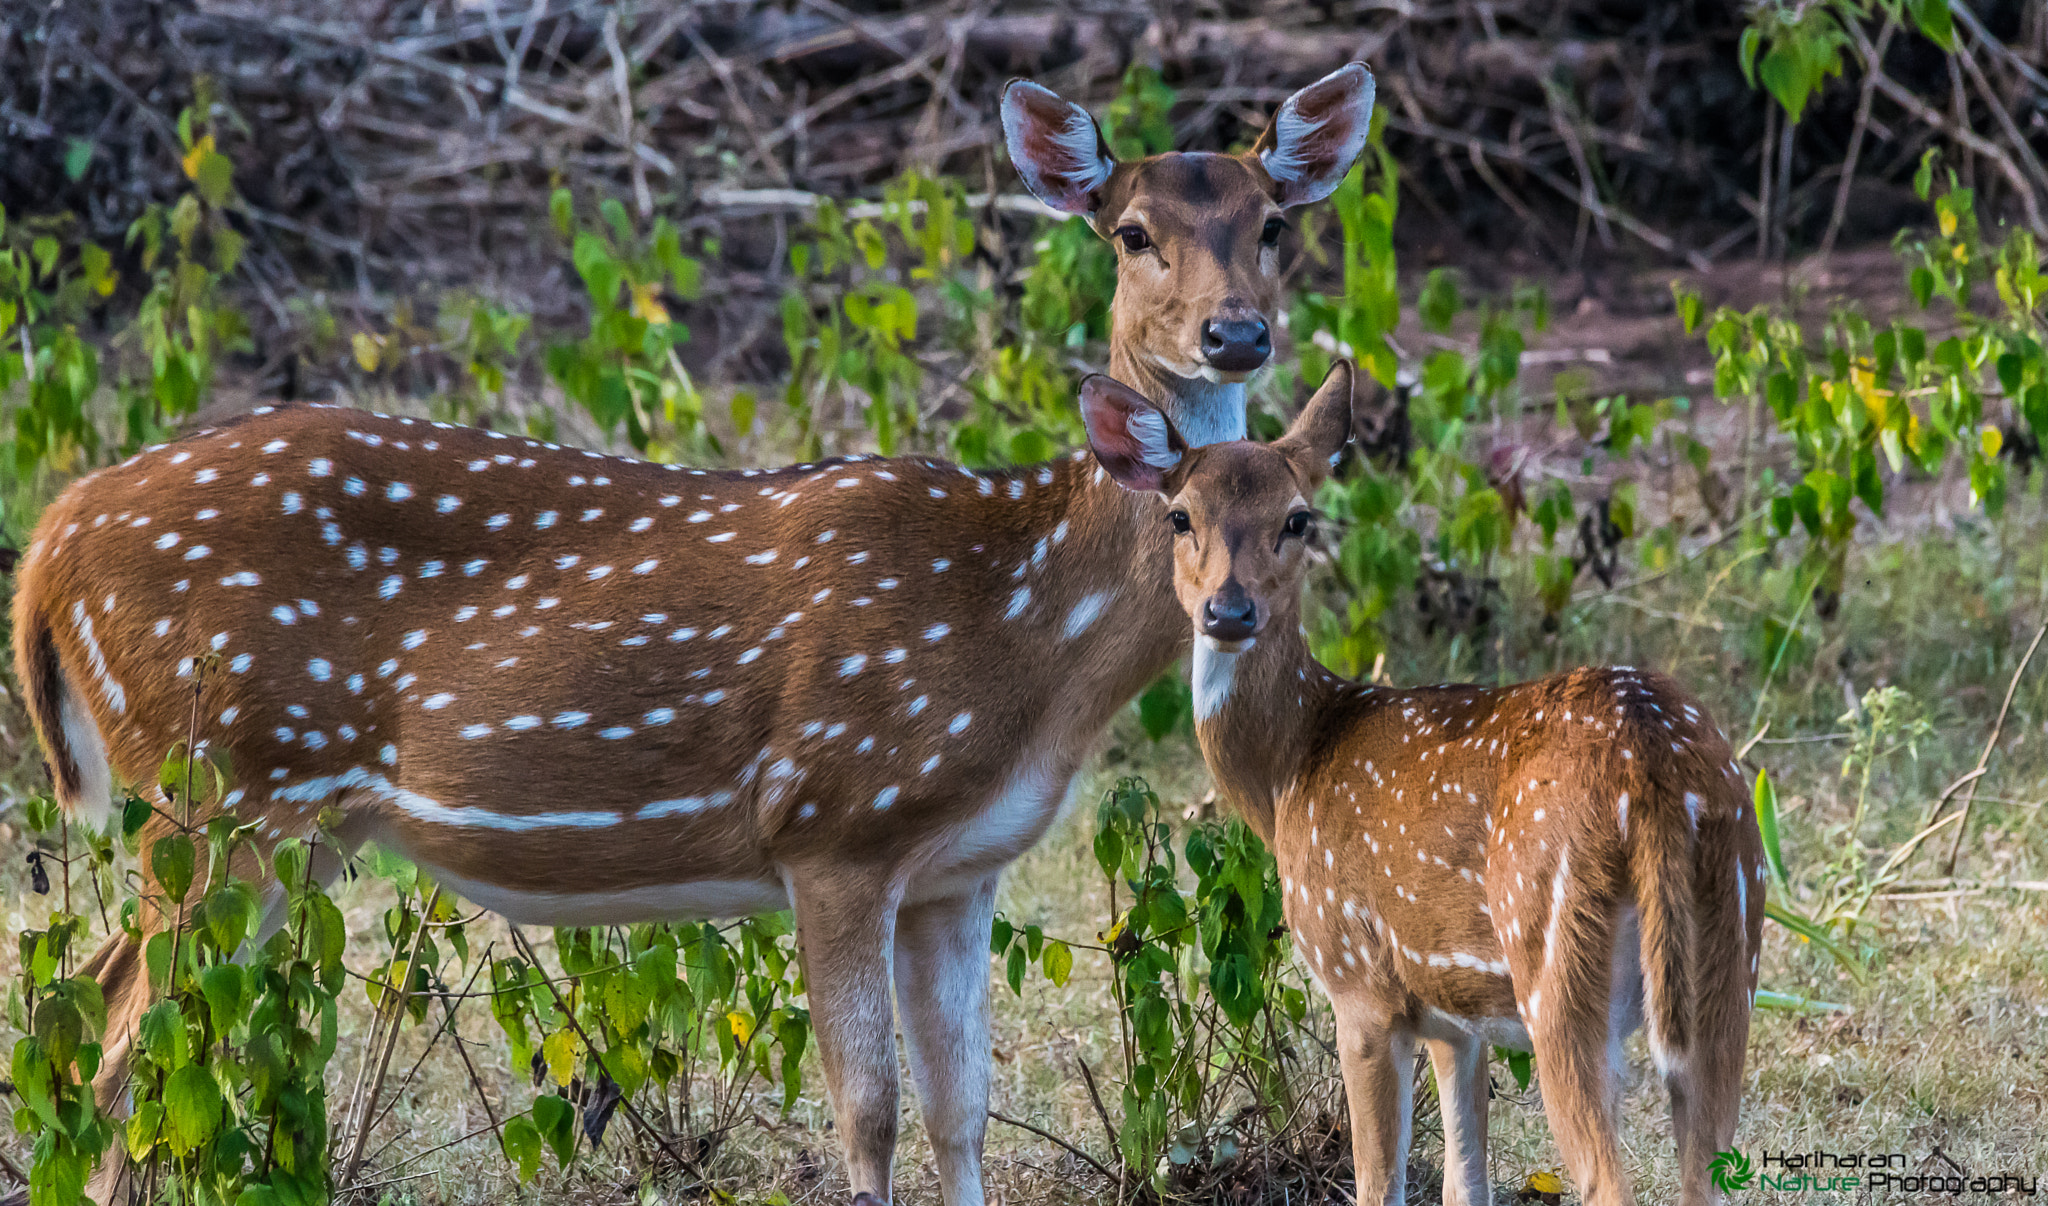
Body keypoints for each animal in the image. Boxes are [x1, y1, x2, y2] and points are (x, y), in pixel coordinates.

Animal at [6, 64, 1377, 1206]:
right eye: (1130, 232)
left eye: (1271, 221)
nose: (1235, 332)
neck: (1024, 632)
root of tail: (53, 541)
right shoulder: (833, 819)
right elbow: (868, 1112)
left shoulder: (958, 867)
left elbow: (962, 1112)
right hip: (216, 782)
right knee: (116, 1049)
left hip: (283, 818)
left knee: (100, 1018)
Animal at [1079, 362, 1765, 1206]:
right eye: (1180, 516)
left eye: (1298, 519)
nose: (1228, 610)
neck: (1292, 768)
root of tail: (1652, 768)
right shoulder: (1453, 1019)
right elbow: (1465, 1184)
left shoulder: (1361, 983)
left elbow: (1381, 1185)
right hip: (1734, 951)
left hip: (1558, 965)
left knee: (1609, 1178)